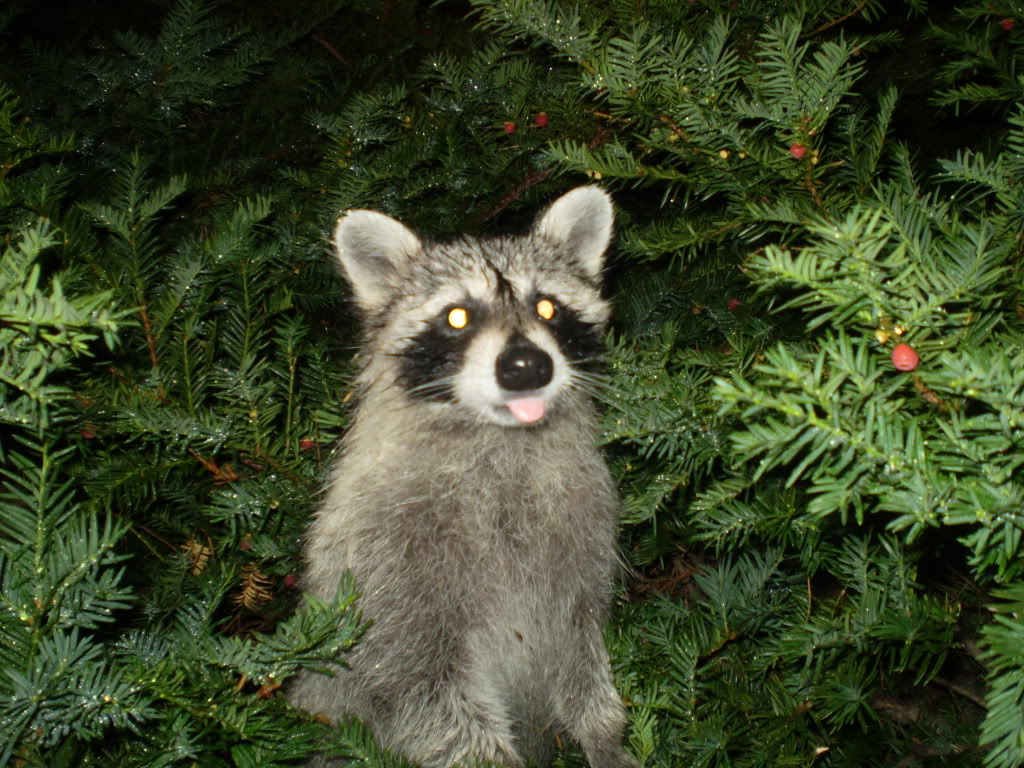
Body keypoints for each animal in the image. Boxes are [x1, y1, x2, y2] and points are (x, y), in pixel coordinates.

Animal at [289, 187, 639, 768]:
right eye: (457, 317)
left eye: (547, 307)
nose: (527, 366)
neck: (499, 438)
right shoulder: (387, 568)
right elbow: (421, 688)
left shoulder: (581, 545)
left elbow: (582, 646)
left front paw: (605, 735)